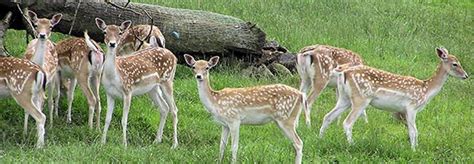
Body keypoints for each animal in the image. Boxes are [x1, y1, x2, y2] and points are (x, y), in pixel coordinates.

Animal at [95, 18, 180, 147]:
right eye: (105, 32)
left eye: (120, 32)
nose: (112, 44)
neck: (114, 76)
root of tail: (174, 57)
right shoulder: (109, 93)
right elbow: (107, 119)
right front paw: (102, 142)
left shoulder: (128, 91)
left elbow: (124, 120)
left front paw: (124, 144)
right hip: (152, 88)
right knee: (164, 108)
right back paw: (157, 140)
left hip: (168, 80)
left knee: (174, 110)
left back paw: (174, 144)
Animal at [316, 46, 468, 151]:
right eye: (455, 64)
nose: (466, 75)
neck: (426, 90)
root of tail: (344, 73)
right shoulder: (412, 106)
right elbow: (414, 131)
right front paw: (414, 150)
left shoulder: (406, 110)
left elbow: (411, 131)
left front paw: (414, 148)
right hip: (361, 98)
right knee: (347, 122)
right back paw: (352, 144)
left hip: (345, 98)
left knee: (328, 116)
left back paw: (320, 139)